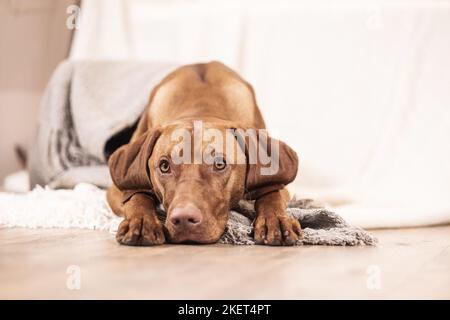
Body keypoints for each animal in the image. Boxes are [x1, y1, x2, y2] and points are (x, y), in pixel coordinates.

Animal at [107, 60, 300, 245]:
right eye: (164, 166)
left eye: (219, 164)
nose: (184, 219)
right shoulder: (118, 189)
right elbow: (137, 194)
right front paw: (141, 222)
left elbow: (272, 193)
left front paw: (275, 220)